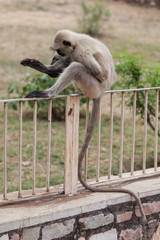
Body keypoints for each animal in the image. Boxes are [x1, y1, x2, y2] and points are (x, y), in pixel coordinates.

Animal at [20, 29, 146, 223]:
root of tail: (101, 92)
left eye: (59, 49)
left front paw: (55, 67)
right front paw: (45, 67)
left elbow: (93, 69)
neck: (76, 41)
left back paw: (48, 93)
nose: (59, 54)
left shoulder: (80, 52)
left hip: (92, 85)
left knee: (76, 67)